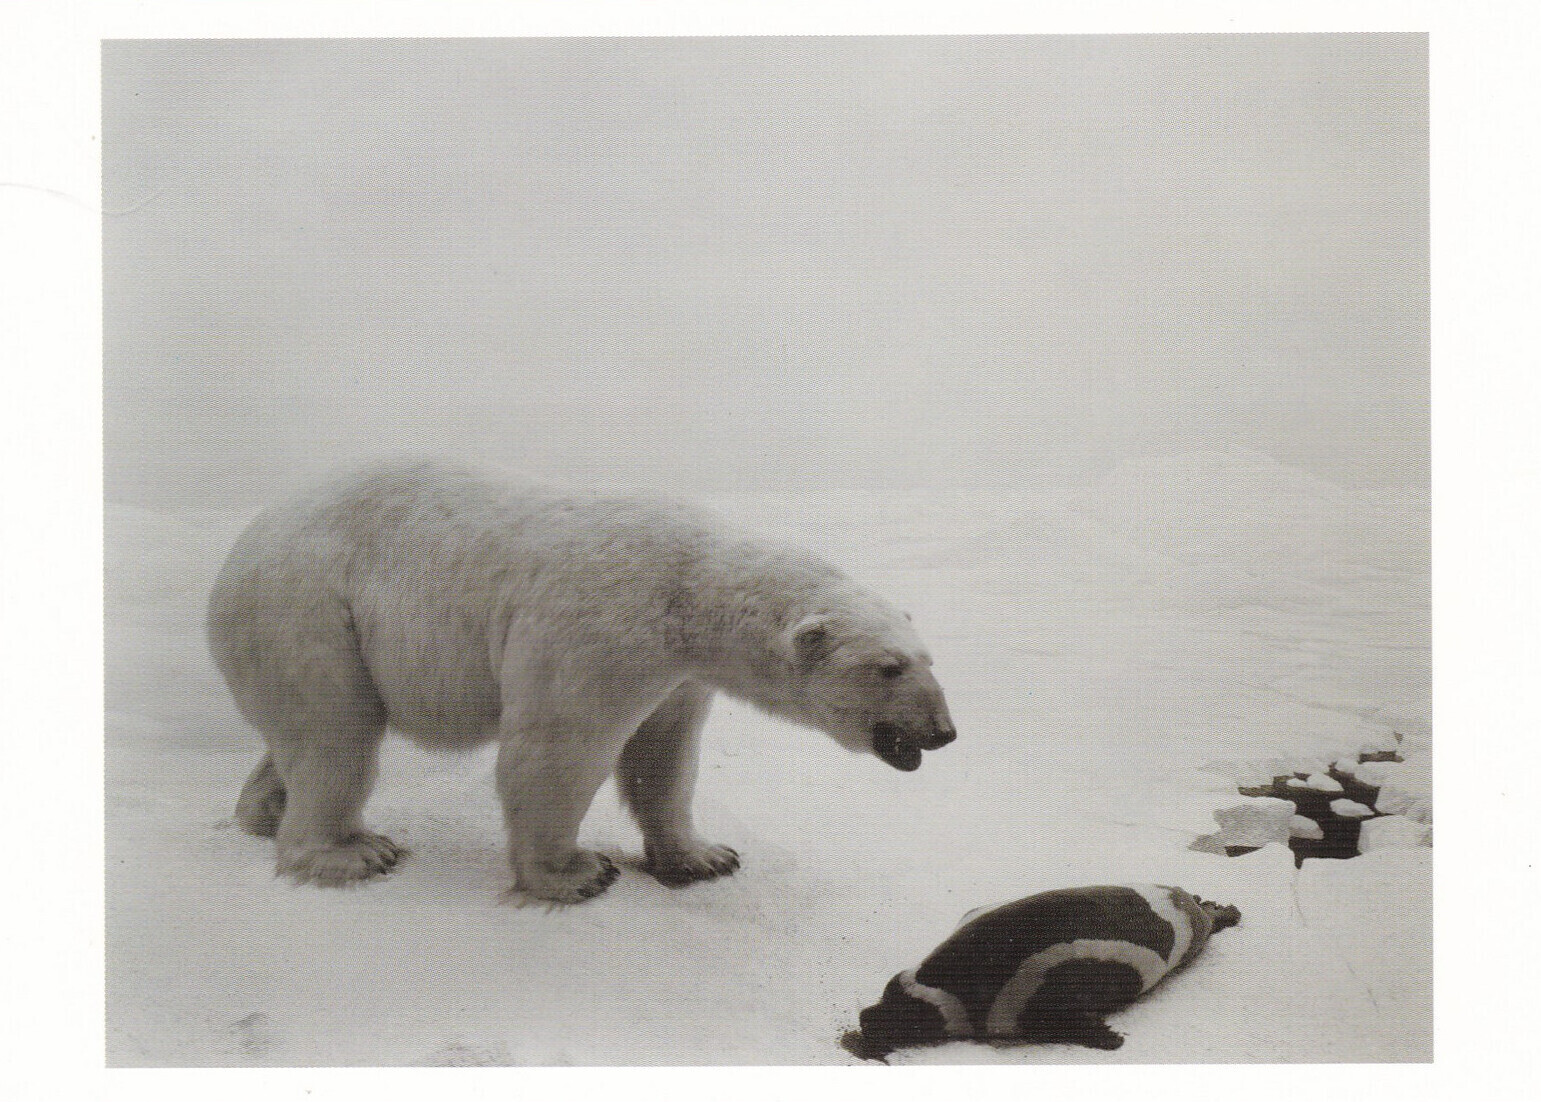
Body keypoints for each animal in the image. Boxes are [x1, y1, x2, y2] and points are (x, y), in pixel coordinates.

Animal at [204, 462, 949, 900]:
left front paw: (704, 856)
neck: (693, 588)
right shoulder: (601, 627)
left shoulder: (679, 672)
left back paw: (264, 814)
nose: (942, 732)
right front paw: (574, 872)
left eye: (930, 659)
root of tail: (239, 549)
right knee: (337, 734)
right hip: (311, 610)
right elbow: (558, 747)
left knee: (307, 734)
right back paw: (349, 852)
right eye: (888, 667)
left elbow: (664, 756)